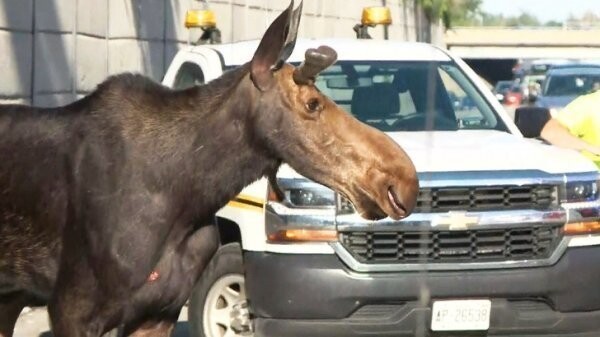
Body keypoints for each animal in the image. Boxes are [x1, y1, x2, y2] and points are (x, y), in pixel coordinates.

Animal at [0, 1, 418, 334]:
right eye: (313, 104)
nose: (404, 179)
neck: (185, 199)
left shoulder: (159, 313)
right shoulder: (72, 309)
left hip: (11, 295)